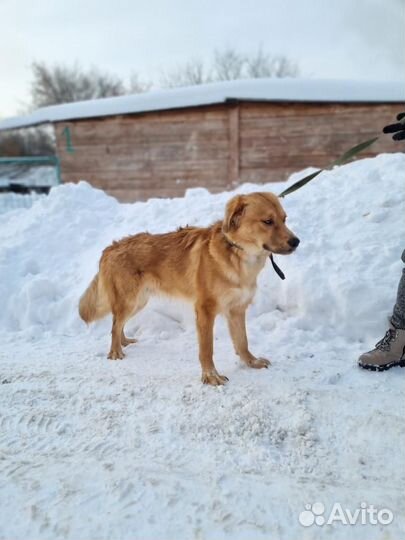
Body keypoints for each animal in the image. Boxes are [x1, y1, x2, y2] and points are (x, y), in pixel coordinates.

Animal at [79, 192, 300, 386]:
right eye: (268, 221)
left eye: (284, 219)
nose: (296, 242)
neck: (237, 254)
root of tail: (110, 248)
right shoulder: (205, 310)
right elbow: (207, 348)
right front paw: (210, 376)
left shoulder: (237, 309)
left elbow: (242, 341)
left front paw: (250, 362)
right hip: (130, 300)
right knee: (114, 325)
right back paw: (115, 352)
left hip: (139, 301)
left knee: (118, 323)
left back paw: (124, 342)